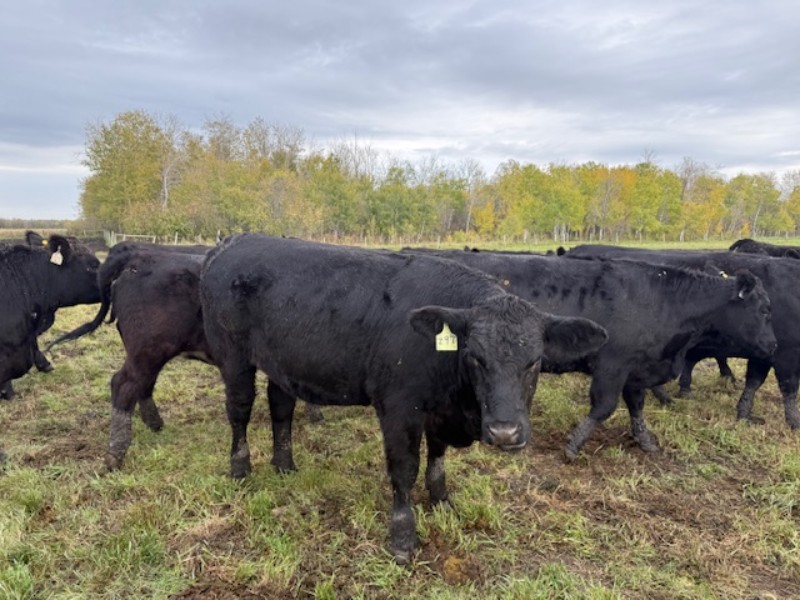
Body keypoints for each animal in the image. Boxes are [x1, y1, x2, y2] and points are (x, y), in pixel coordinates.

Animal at [47, 241, 323, 471]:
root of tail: (139, 257)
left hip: (149, 352)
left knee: (142, 385)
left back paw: (154, 424)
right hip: (148, 348)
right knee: (123, 385)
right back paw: (116, 453)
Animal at [198, 234, 608, 563]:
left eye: (535, 360)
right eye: (475, 356)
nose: (505, 432)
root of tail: (234, 241)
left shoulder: (440, 411)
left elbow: (438, 458)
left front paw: (443, 501)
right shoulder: (398, 408)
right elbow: (405, 469)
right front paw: (403, 536)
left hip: (282, 361)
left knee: (280, 407)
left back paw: (284, 465)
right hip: (233, 357)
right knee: (239, 410)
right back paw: (241, 468)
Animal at [401, 248, 776, 460]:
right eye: (763, 310)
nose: (773, 345)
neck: (664, 301)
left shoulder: (635, 370)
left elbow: (636, 406)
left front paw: (645, 441)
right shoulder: (612, 366)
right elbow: (604, 407)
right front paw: (573, 446)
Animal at [562, 244, 800, 429]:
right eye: (765, 311)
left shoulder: (767, 351)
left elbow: (753, 382)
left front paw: (744, 414)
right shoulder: (785, 353)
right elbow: (788, 388)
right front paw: (794, 422)